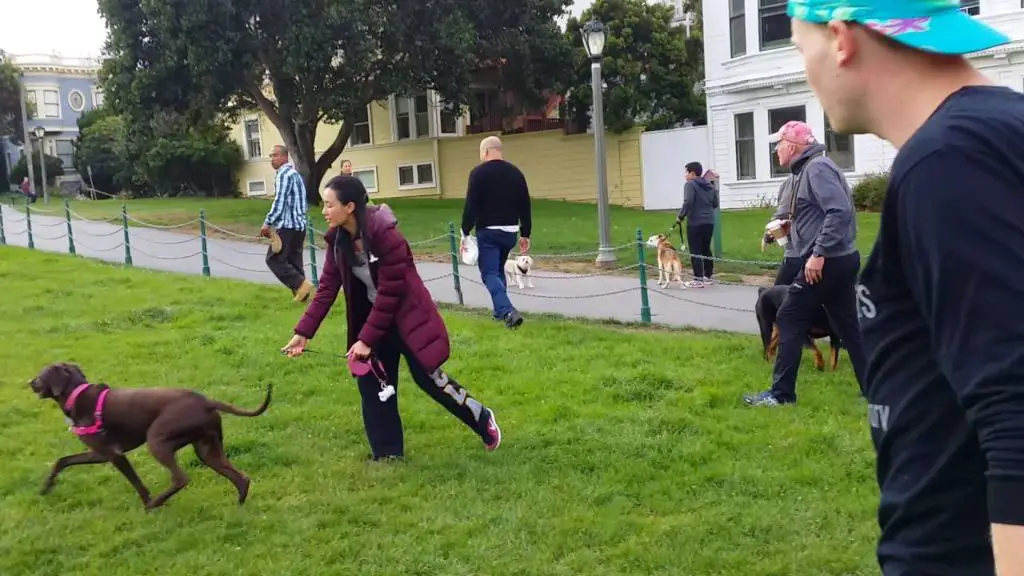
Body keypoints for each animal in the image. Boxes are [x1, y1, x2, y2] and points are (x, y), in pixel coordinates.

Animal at [29, 360, 272, 508]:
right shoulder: (98, 453)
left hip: (156, 440)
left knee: (180, 478)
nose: (28, 382)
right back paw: (239, 505)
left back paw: (156, 503)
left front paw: (147, 502)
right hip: (208, 450)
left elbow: (136, 482)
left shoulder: (113, 454)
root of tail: (207, 402)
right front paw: (46, 487)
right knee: (241, 478)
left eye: (40, 375)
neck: (76, 394)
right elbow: (62, 461)